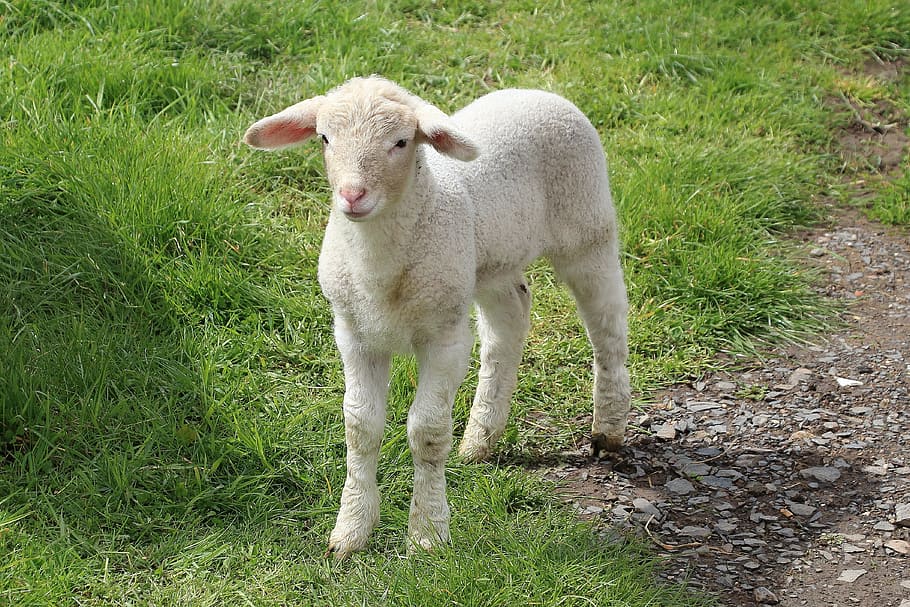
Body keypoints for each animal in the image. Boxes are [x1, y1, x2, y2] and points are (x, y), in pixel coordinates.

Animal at [243, 76, 631, 557]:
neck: (379, 271)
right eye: (325, 139)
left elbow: (426, 431)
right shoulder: (354, 333)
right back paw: (480, 438)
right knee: (510, 318)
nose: (352, 196)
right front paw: (351, 531)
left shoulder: (445, 338)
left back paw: (608, 427)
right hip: (485, 264)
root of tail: (536, 91)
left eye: (401, 142)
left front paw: (427, 534)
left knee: (607, 325)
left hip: (587, 228)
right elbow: (360, 427)